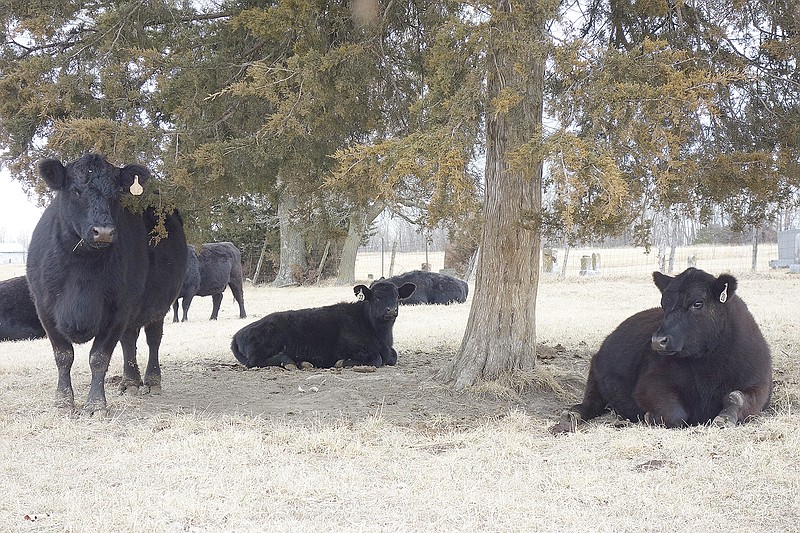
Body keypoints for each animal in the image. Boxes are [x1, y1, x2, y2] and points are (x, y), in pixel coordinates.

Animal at [24, 154, 188, 416]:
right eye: (75, 190)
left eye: (116, 194)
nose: (103, 232)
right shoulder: (45, 309)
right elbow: (63, 355)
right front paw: (63, 401)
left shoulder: (117, 311)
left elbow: (99, 357)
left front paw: (95, 404)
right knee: (129, 340)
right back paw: (130, 382)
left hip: (158, 305)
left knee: (153, 339)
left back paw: (152, 381)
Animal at [228, 278, 416, 370]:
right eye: (377, 297)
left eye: (397, 296)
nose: (391, 310)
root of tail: (238, 333)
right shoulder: (355, 349)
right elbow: (377, 359)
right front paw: (341, 363)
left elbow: (392, 357)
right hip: (266, 345)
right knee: (255, 362)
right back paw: (288, 361)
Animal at [552, 266, 772, 432]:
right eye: (663, 303)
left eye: (697, 303)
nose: (658, 340)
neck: (708, 367)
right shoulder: (649, 383)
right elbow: (676, 414)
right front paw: (650, 417)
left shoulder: (760, 385)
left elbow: (736, 396)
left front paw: (725, 418)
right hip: (595, 377)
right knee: (589, 404)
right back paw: (572, 415)